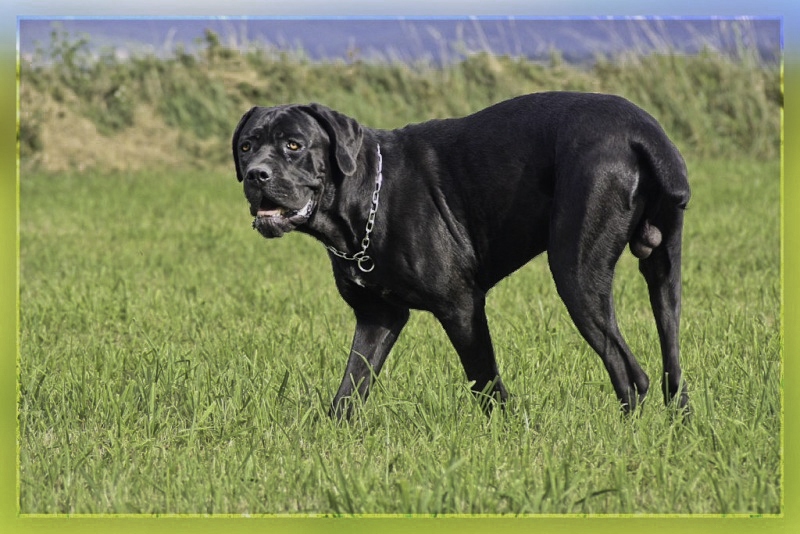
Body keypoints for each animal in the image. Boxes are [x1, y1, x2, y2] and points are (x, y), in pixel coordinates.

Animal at [231, 92, 688, 418]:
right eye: (247, 146)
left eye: (294, 144)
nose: (256, 175)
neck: (365, 196)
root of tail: (643, 132)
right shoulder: (377, 316)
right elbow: (350, 388)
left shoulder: (461, 306)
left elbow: (484, 380)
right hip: (664, 273)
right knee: (671, 365)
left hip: (575, 272)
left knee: (630, 372)